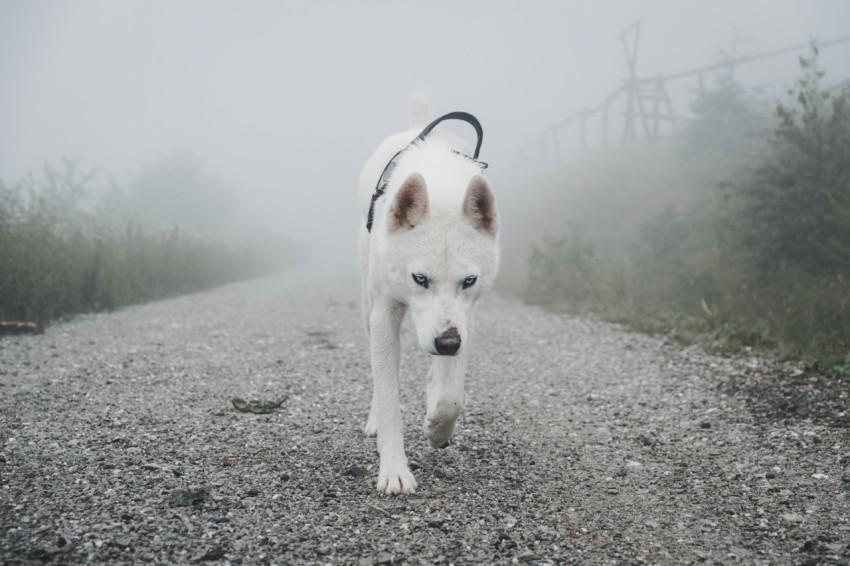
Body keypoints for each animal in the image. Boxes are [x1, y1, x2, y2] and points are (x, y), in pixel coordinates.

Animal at [356, 108, 496, 494]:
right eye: (420, 279)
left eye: (468, 281)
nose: (447, 344)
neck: (441, 181)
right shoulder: (384, 315)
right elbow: (389, 397)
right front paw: (394, 471)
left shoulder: (466, 317)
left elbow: (451, 397)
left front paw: (437, 429)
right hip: (369, 308)